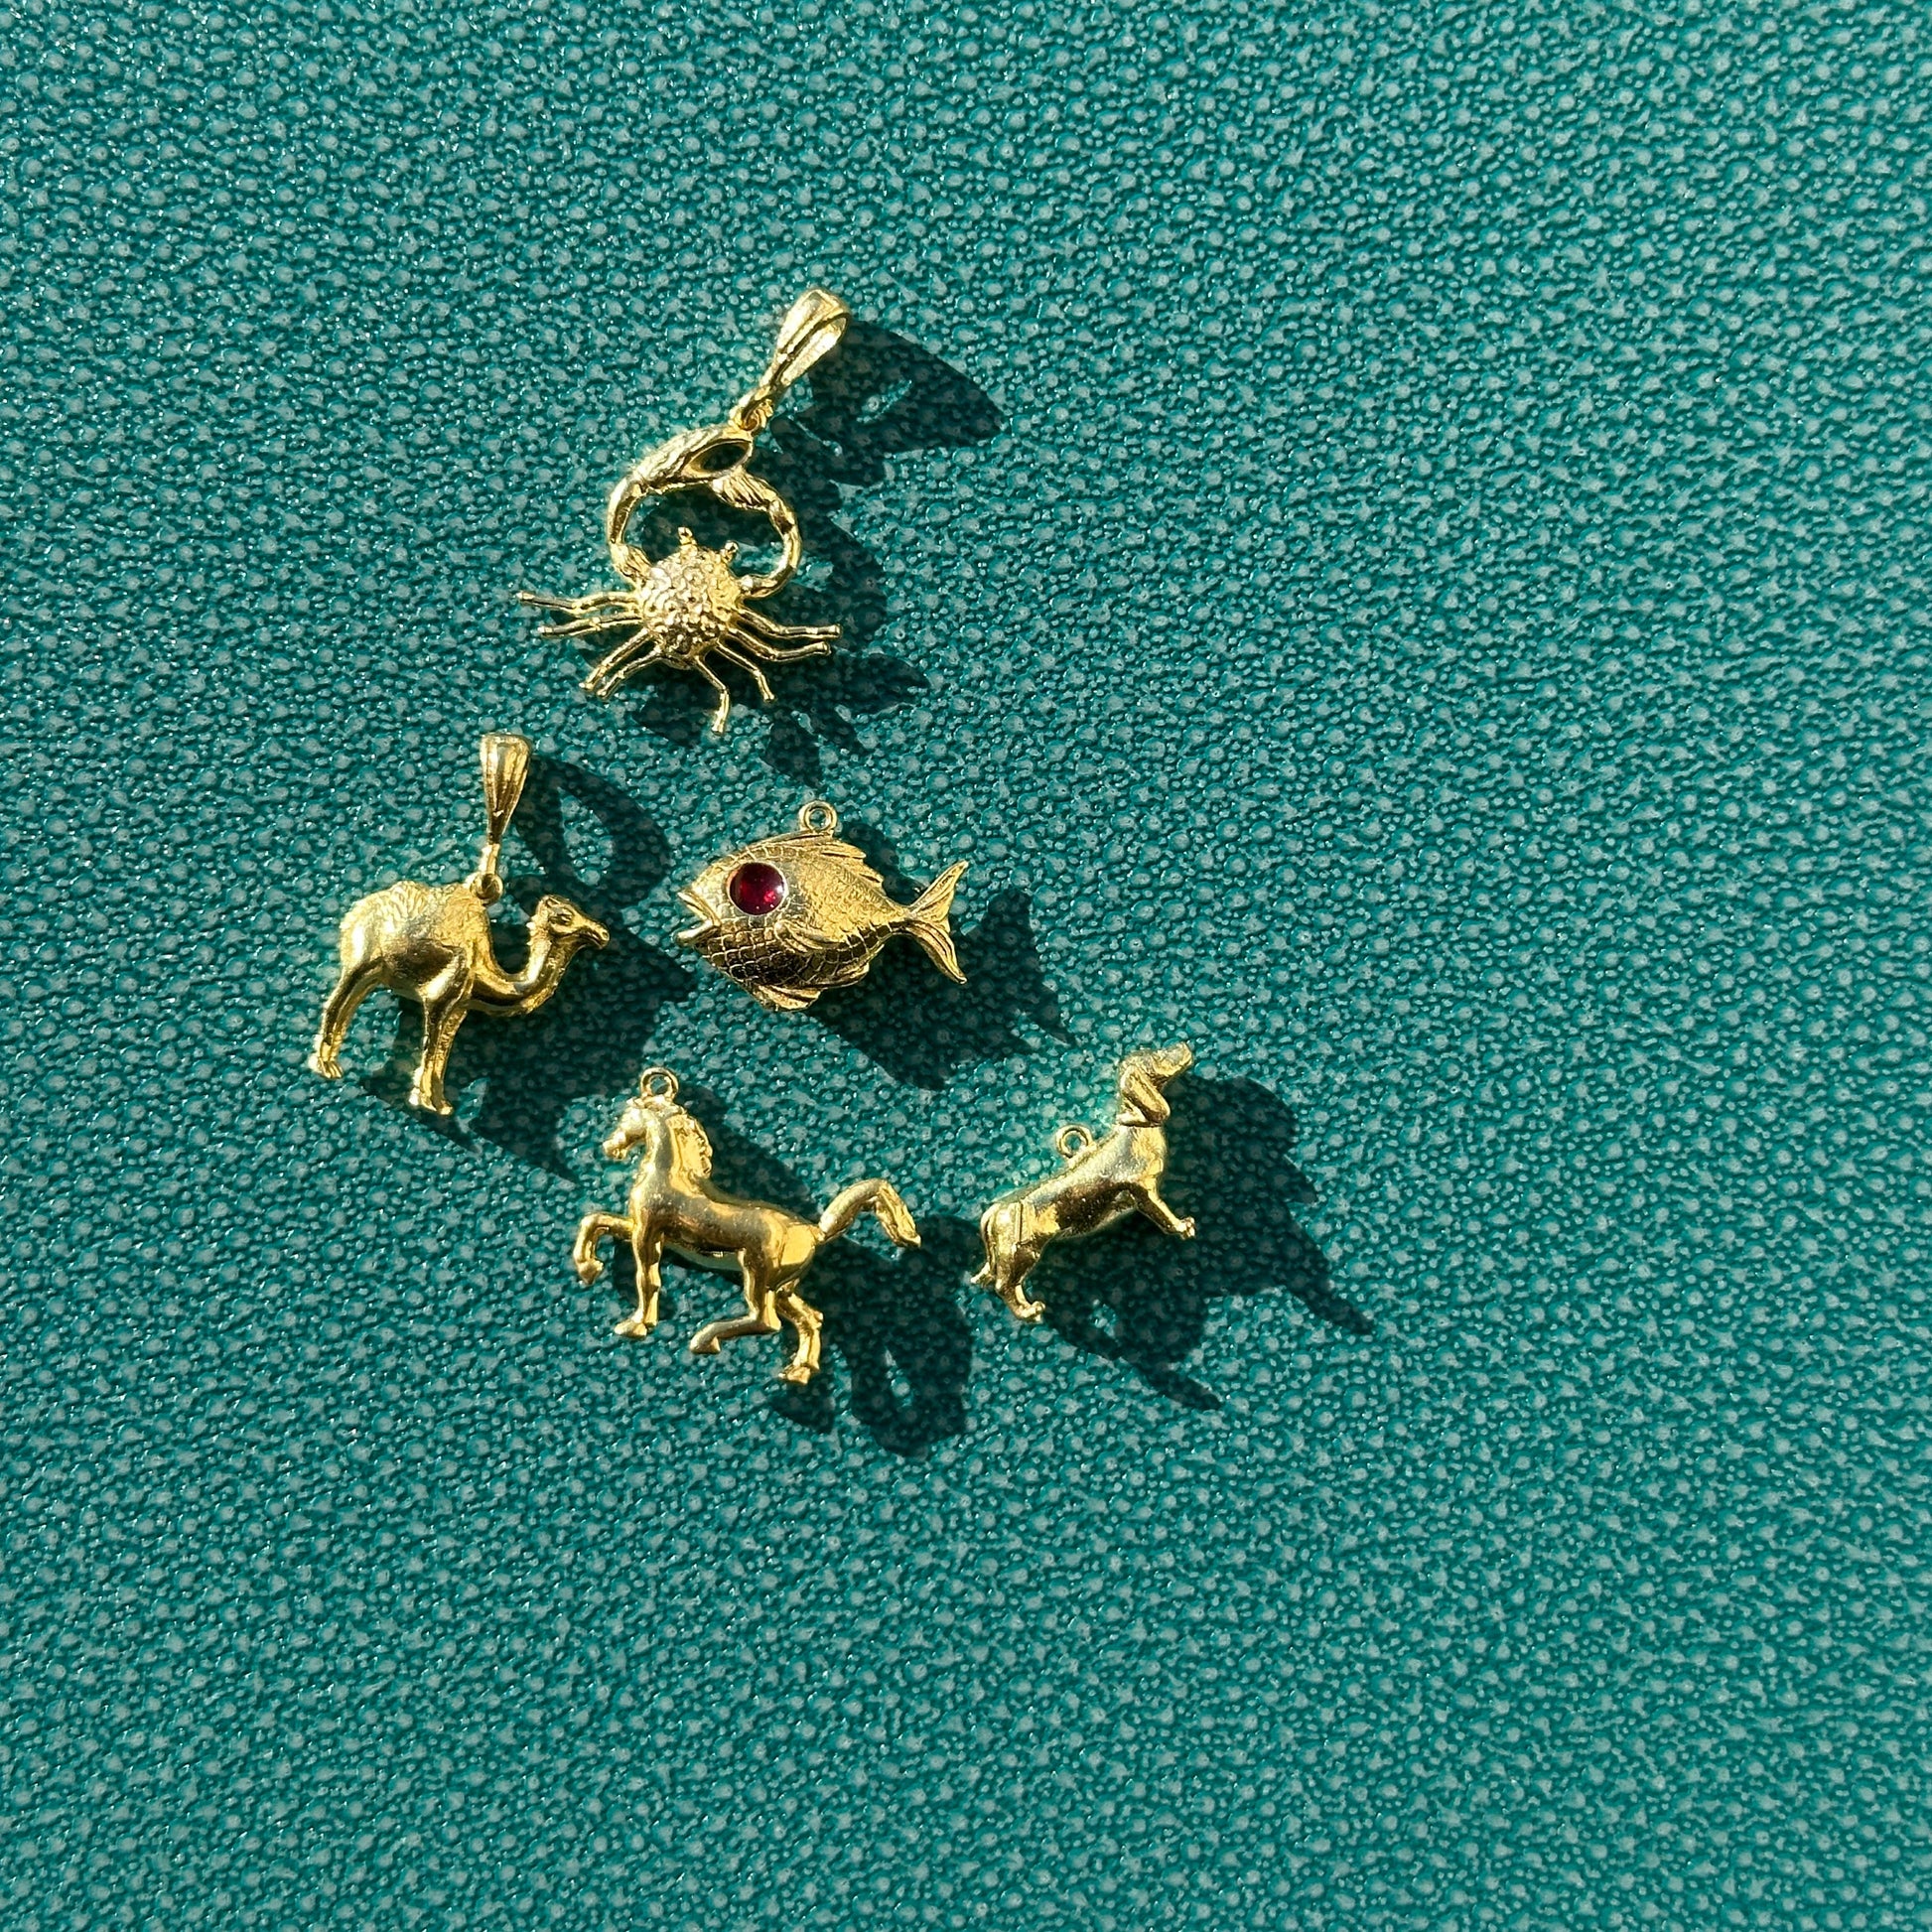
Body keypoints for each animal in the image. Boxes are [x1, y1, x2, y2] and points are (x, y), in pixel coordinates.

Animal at [573, 1067, 919, 1384]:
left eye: (627, 1117)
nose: (610, 1148)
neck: (670, 1175)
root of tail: (814, 1232)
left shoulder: (647, 1233)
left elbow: (646, 1278)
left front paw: (636, 1324)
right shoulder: (641, 1229)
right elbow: (595, 1220)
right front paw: (589, 1269)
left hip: (757, 1273)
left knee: (767, 1321)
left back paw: (705, 1339)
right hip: (783, 1287)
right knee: (811, 1318)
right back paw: (797, 1372)